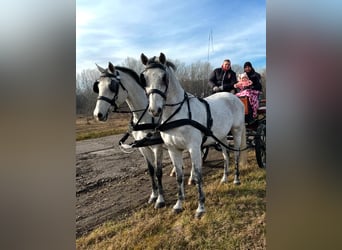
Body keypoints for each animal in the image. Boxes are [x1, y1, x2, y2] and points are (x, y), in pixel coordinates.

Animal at [93, 62, 166, 209]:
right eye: (98, 87)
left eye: (112, 86)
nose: (98, 114)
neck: (145, 116)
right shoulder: (143, 147)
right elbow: (151, 170)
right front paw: (153, 195)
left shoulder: (157, 147)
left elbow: (158, 171)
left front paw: (160, 199)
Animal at [140, 52, 247, 217]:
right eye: (144, 78)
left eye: (164, 77)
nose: (154, 110)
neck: (177, 114)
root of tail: (234, 97)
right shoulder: (173, 149)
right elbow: (179, 176)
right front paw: (179, 204)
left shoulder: (194, 148)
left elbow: (198, 174)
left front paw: (201, 207)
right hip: (221, 136)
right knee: (226, 155)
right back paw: (224, 178)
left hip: (237, 131)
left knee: (235, 154)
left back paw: (236, 179)